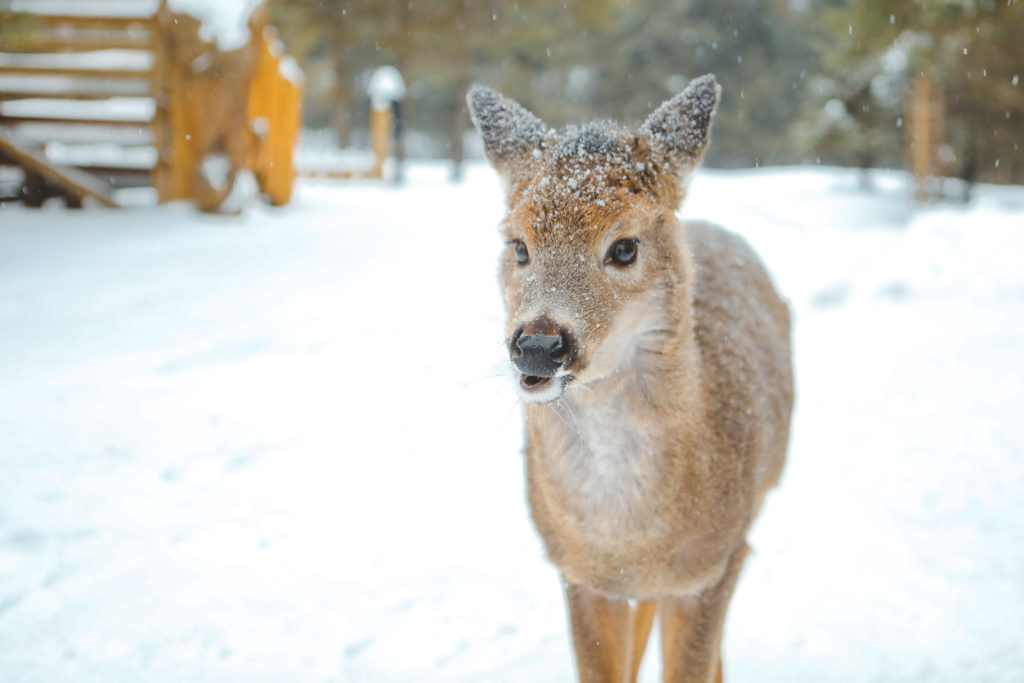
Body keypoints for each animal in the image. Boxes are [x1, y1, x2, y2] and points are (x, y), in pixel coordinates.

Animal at [467, 74, 794, 683]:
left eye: (624, 247)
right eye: (518, 245)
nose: (539, 346)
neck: (628, 534)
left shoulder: (715, 565)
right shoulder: (578, 572)